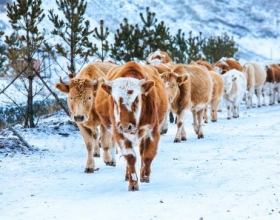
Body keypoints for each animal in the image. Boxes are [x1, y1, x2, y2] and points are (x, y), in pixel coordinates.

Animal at [94, 60, 168, 191]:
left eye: (137, 99)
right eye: (114, 100)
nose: (126, 126)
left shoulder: (152, 132)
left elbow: (148, 155)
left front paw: (144, 175)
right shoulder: (118, 134)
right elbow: (130, 157)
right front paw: (133, 183)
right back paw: (127, 175)